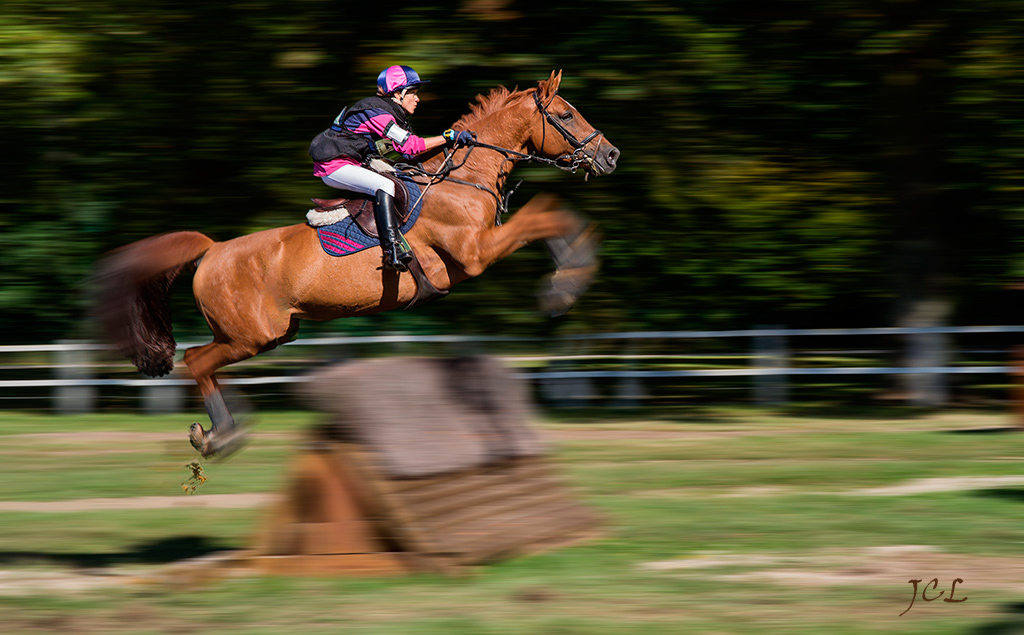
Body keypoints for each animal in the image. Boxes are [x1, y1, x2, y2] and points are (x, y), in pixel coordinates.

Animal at [96, 70, 618, 456]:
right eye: (566, 114)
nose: (611, 155)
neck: (462, 178)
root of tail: (212, 249)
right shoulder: (476, 253)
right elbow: (545, 214)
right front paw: (564, 286)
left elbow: (552, 215)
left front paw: (568, 274)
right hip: (252, 334)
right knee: (197, 360)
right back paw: (218, 437)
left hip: (271, 335)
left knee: (208, 361)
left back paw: (228, 429)